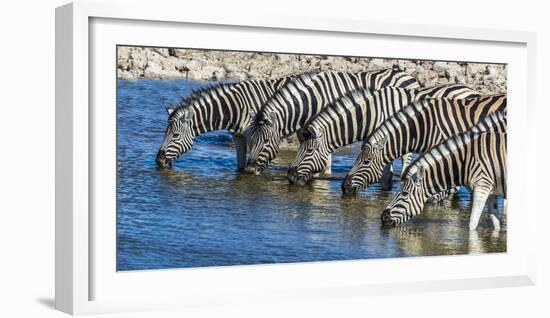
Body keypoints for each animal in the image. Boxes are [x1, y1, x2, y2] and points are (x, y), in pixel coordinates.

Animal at [156, 76, 294, 170]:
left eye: (175, 136)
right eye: (164, 133)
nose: (158, 161)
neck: (235, 107)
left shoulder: (254, 137)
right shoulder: (238, 137)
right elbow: (240, 165)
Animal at [244, 68, 420, 175]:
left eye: (266, 141)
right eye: (251, 140)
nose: (250, 170)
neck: (312, 101)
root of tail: (409, 76)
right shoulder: (306, 130)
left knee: (406, 158)